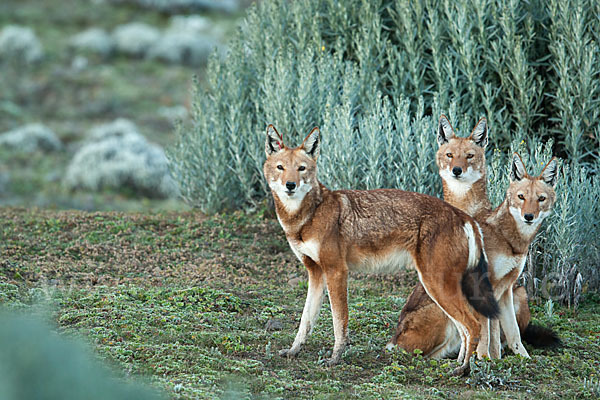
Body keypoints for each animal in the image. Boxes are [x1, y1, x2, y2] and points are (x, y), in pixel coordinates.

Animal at [264, 124, 502, 376]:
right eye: (281, 168)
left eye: (301, 169)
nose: (290, 185)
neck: (307, 217)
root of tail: (464, 216)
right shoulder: (316, 273)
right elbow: (305, 321)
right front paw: (293, 351)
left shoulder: (336, 272)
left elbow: (339, 321)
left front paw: (335, 358)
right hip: (439, 290)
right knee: (466, 328)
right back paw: (458, 365)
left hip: (437, 286)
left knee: (473, 324)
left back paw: (463, 369)